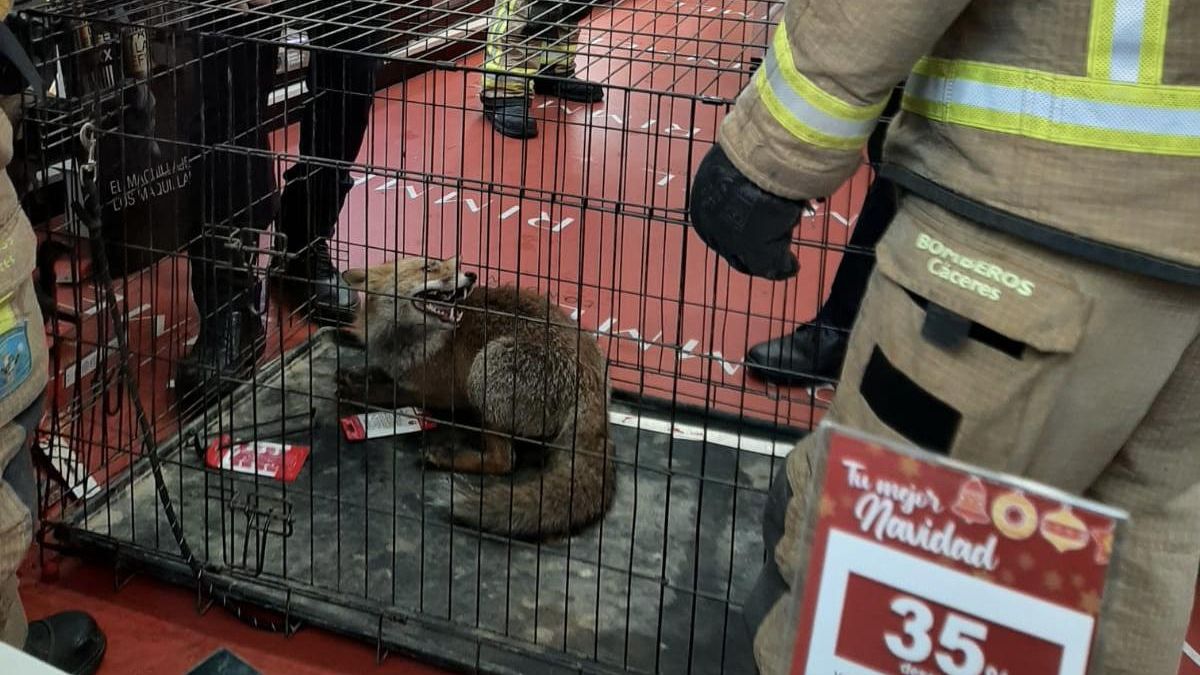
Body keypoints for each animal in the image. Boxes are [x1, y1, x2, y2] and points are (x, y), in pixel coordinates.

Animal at [340, 254, 614, 538]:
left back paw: (446, 457)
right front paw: (356, 373)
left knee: (504, 461)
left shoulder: (437, 392)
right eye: (429, 268)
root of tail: (593, 381)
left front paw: (357, 390)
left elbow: (390, 392)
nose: (471, 275)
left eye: (450, 265)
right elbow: (380, 372)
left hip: (482, 374)